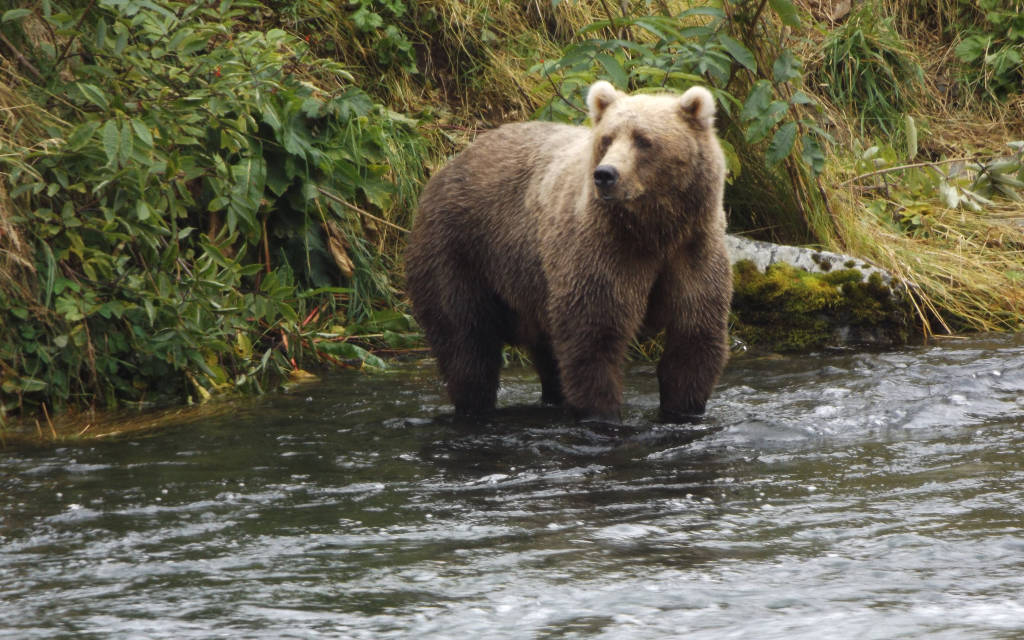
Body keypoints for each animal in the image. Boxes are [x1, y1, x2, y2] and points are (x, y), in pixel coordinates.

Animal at [403, 79, 733, 421]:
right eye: (607, 138)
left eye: (644, 140)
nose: (605, 174)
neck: (653, 231)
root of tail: (452, 162)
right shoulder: (604, 251)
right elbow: (593, 337)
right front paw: (602, 412)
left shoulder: (692, 250)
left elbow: (693, 335)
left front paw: (683, 409)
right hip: (460, 249)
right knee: (465, 340)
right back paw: (474, 403)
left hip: (533, 283)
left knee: (545, 353)